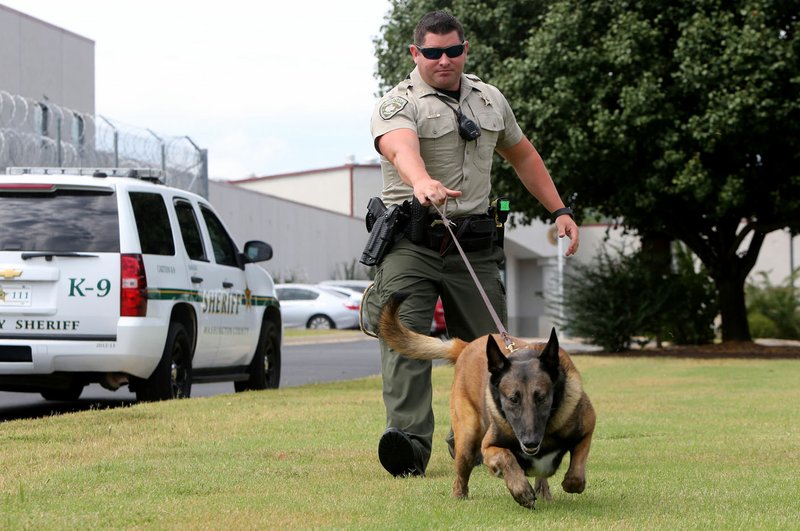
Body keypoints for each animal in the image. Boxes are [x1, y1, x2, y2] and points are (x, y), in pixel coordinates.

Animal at [380, 296, 592, 512]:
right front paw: (521, 490)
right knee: (461, 475)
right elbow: (507, 458)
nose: (530, 442)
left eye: (541, 398)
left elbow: (577, 468)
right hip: (468, 436)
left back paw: (543, 492)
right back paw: (460, 495)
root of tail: (467, 346)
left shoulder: (587, 428)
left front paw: (570, 482)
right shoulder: (489, 447)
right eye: (513, 399)